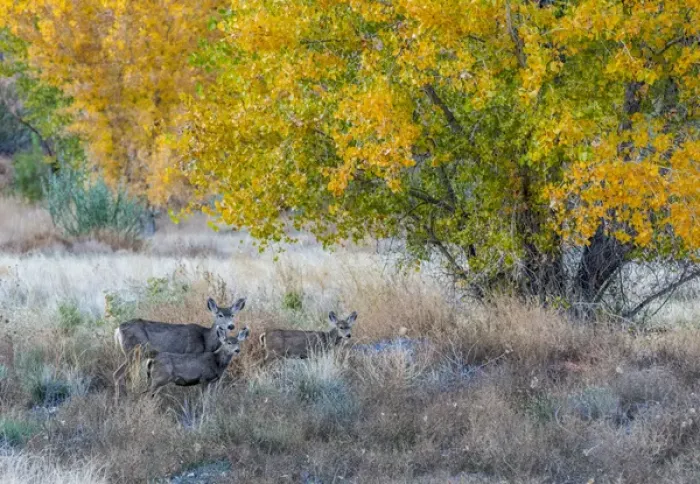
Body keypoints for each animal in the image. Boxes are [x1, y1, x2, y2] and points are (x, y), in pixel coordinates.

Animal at [113, 296, 246, 398]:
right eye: (220, 315)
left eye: (232, 315)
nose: (231, 326)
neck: (206, 339)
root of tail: (118, 329)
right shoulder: (191, 353)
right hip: (134, 352)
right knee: (119, 374)